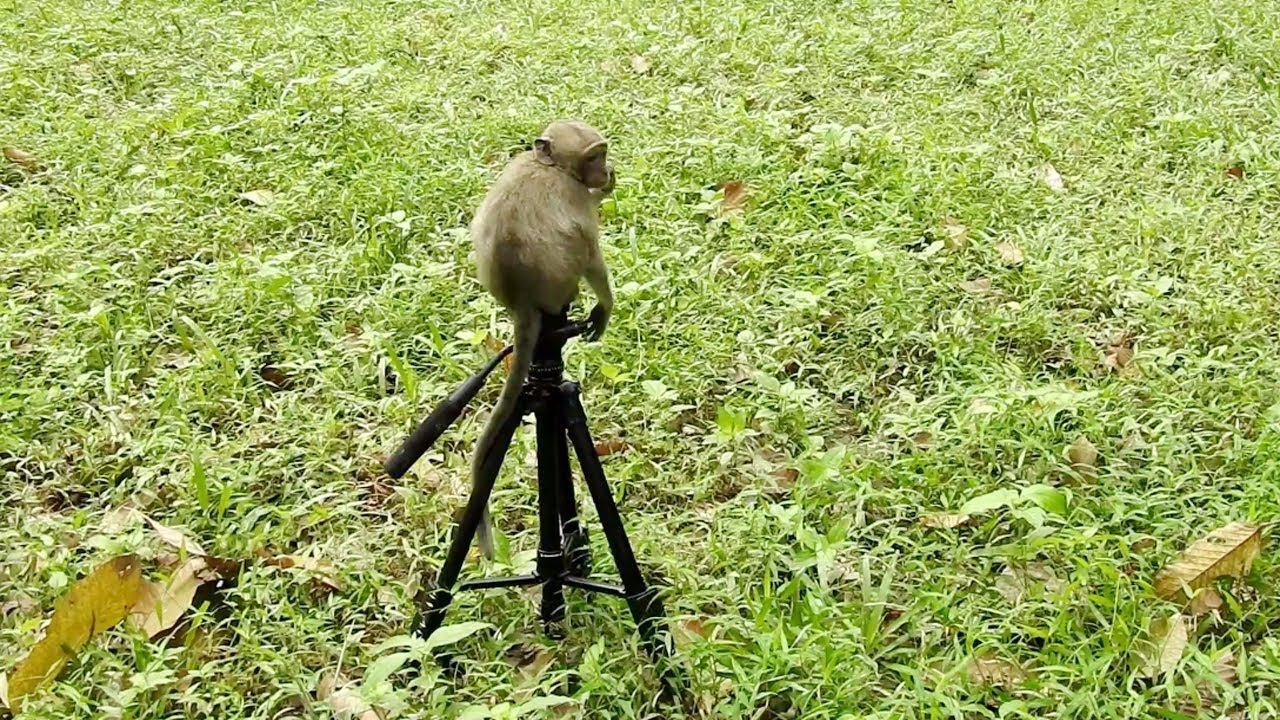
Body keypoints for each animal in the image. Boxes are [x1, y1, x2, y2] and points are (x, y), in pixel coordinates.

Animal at [467, 120, 616, 558]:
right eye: (593, 156)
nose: (603, 170)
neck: (547, 165)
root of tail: (521, 301)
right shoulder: (572, 195)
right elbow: (590, 251)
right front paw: (606, 305)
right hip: (560, 286)